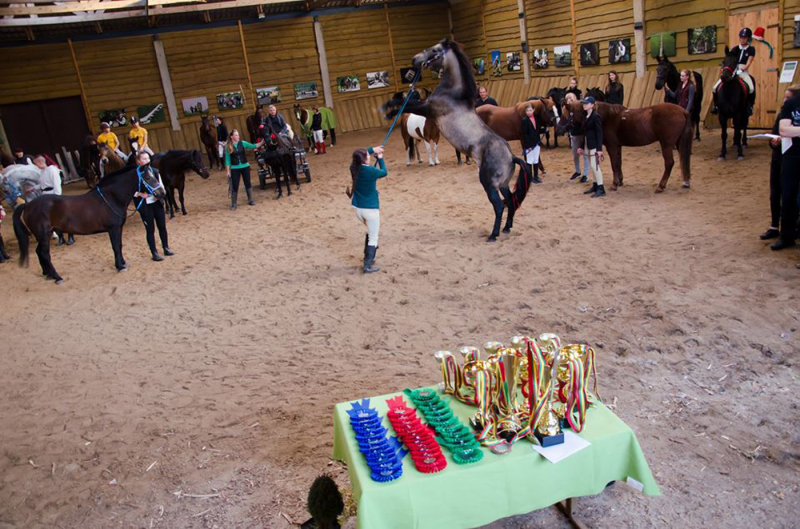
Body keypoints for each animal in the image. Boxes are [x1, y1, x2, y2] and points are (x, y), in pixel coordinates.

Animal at [12, 164, 166, 282]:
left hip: (43, 236)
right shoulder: (113, 229)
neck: (111, 197)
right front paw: (120, 266)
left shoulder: (118, 228)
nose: (162, 193)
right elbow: (116, 247)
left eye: (154, 176)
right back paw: (57, 277)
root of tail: (28, 205)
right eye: (148, 178)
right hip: (44, 235)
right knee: (45, 254)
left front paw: (123, 263)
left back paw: (47, 274)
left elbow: (120, 245)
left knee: (39, 252)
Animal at [386, 37, 536, 241]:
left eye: (434, 50)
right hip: (503, 185)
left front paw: (387, 110)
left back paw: (493, 234)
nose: (414, 60)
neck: (452, 94)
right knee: (511, 202)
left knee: (499, 206)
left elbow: (406, 103)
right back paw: (506, 228)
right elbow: (406, 102)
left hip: (488, 184)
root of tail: (512, 157)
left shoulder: (428, 109)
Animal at [556, 101, 692, 192]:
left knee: (669, 163)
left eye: (565, 115)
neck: (605, 117)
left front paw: (614, 184)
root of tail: (682, 111)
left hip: (666, 145)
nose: (558, 129)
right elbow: (619, 163)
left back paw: (660, 186)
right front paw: (620, 181)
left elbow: (614, 164)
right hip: (678, 143)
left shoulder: (612, 146)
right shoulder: (618, 146)